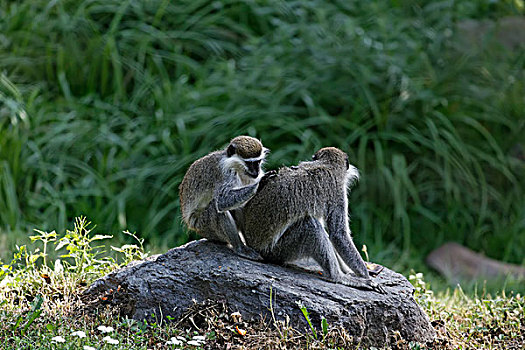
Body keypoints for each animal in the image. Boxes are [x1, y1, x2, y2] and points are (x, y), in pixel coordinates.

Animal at [239, 146, 382, 292]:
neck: (327, 165)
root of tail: (250, 243)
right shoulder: (337, 192)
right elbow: (338, 235)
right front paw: (364, 276)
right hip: (276, 251)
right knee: (311, 226)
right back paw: (337, 277)